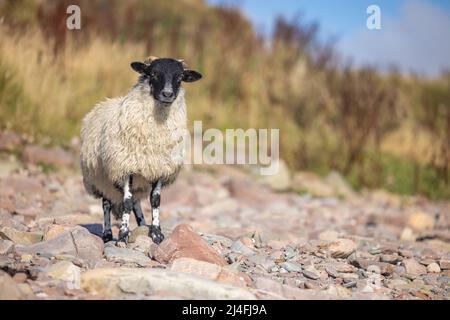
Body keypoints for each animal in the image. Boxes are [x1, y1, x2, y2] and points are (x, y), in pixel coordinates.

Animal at [80, 56, 201, 244]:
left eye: (180, 77)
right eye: (153, 74)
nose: (167, 94)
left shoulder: (160, 168)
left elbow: (155, 200)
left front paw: (156, 233)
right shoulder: (125, 166)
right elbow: (127, 202)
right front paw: (123, 234)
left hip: (136, 180)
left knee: (136, 202)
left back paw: (143, 224)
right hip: (101, 177)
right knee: (107, 203)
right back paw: (107, 234)